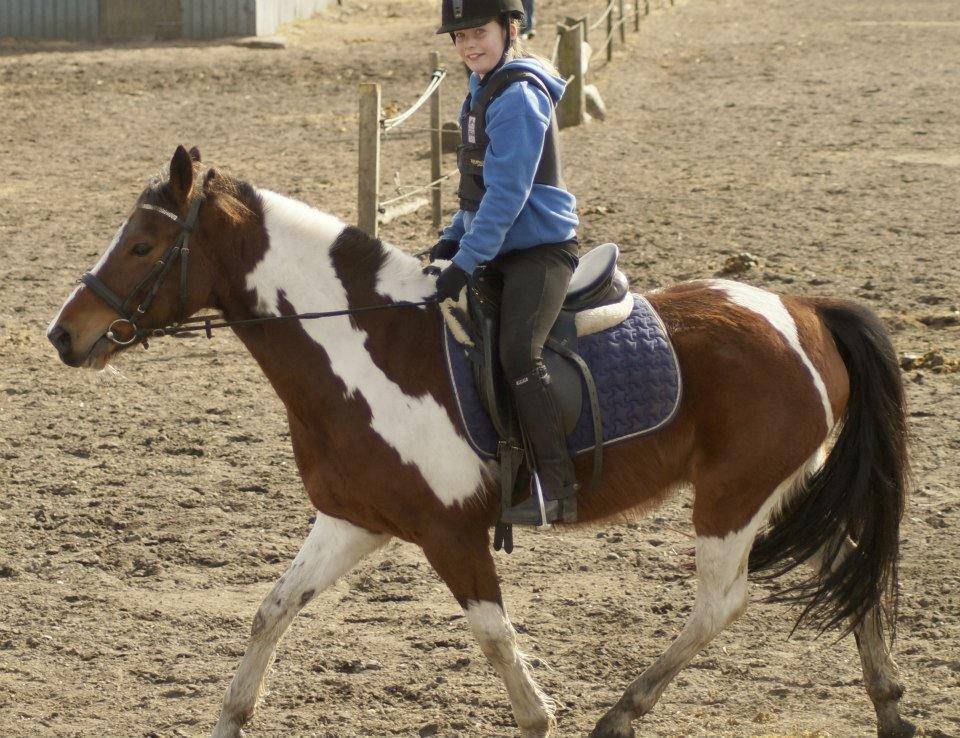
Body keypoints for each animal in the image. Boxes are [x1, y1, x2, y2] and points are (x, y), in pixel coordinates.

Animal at [47, 145, 916, 736]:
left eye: (143, 245)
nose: (64, 335)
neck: (364, 348)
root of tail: (804, 311)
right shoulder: (353, 521)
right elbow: (272, 610)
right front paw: (229, 717)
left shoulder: (451, 535)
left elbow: (500, 649)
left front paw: (545, 716)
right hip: (784, 486)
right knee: (848, 565)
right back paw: (890, 706)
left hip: (733, 496)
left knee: (722, 601)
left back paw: (622, 712)